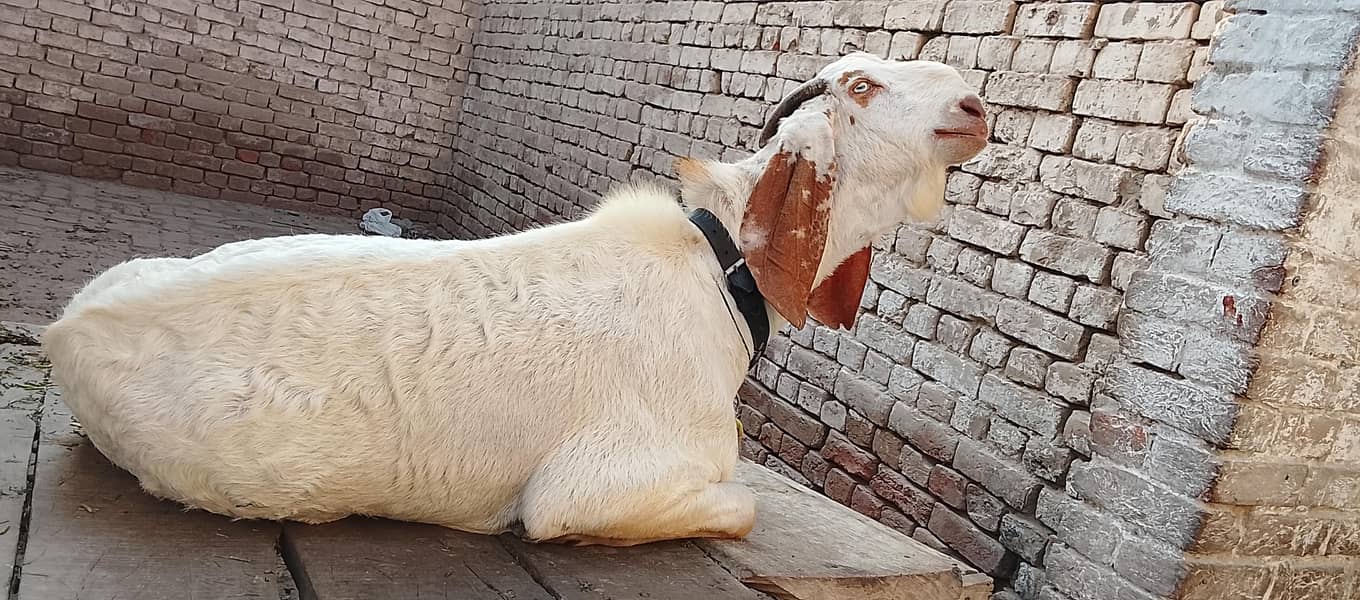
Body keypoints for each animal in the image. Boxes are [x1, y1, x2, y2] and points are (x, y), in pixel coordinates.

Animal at [41, 52, 988, 546]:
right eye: (862, 87)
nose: (976, 103)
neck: (717, 274)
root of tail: (64, 327)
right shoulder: (593, 488)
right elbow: (739, 506)